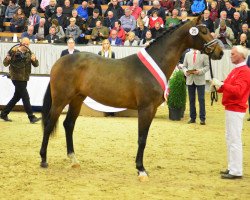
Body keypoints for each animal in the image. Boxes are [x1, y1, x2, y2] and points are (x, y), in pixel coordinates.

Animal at [40, 15, 224, 180]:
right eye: (204, 31)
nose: (220, 52)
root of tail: (60, 61)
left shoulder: (151, 110)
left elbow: (144, 138)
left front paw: (141, 168)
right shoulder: (145, 108)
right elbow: (141, 139)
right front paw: (141, 170)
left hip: (77, 99)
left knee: (68, 124)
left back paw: (74, 159)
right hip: (60, 100)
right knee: (49, 125)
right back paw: (43, 159)